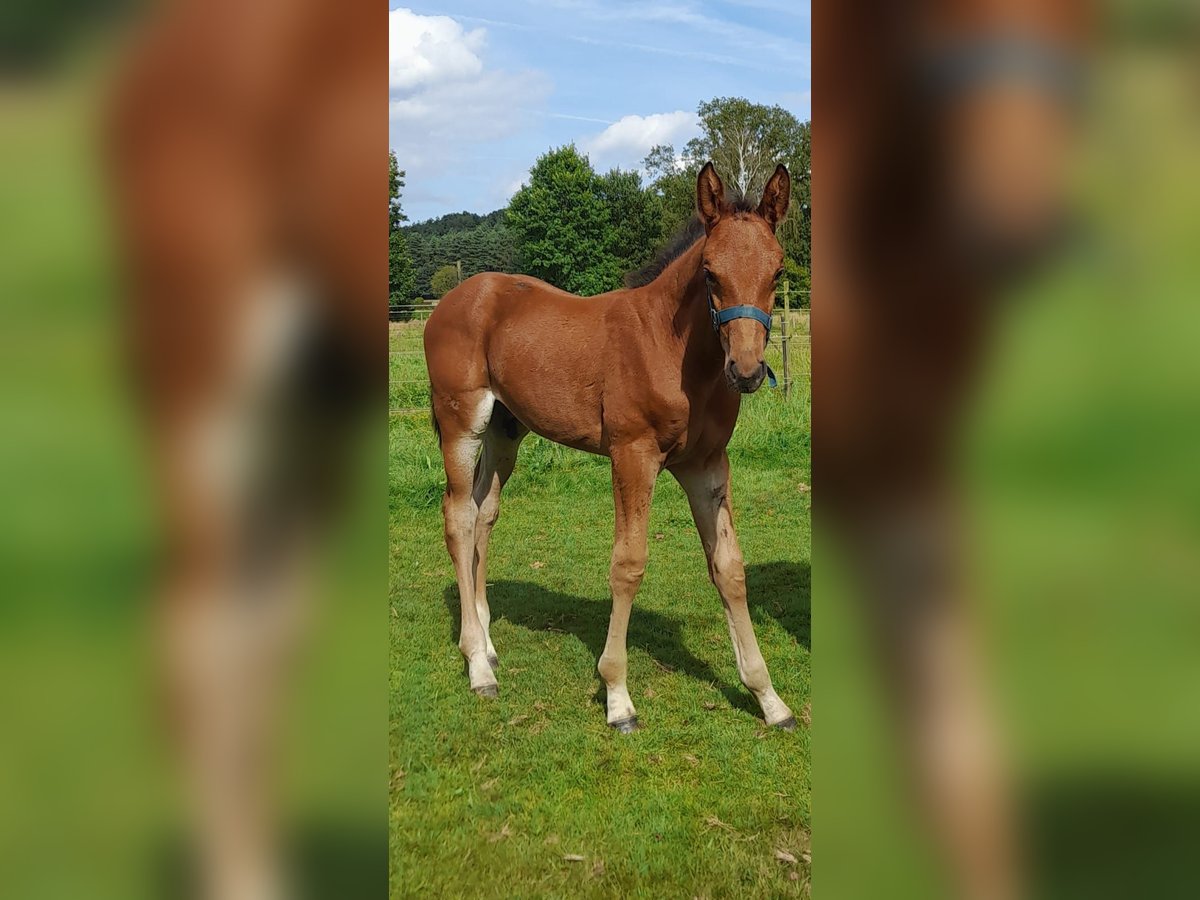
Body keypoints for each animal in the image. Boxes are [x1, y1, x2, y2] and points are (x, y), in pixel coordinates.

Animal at [427, 162, 801, 734]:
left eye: (777, 272)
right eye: (710, 272)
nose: (747, 371)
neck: (669, 348)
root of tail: (454, 298)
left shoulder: (707, 466)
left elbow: (730, 568)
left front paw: (769, 698)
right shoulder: (633, 455)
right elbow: (628, 564)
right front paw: (618, 697)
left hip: (504, 431)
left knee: (483, 510)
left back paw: (488, 645)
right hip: (460, 423)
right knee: (458, 516)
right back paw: (477, 666)